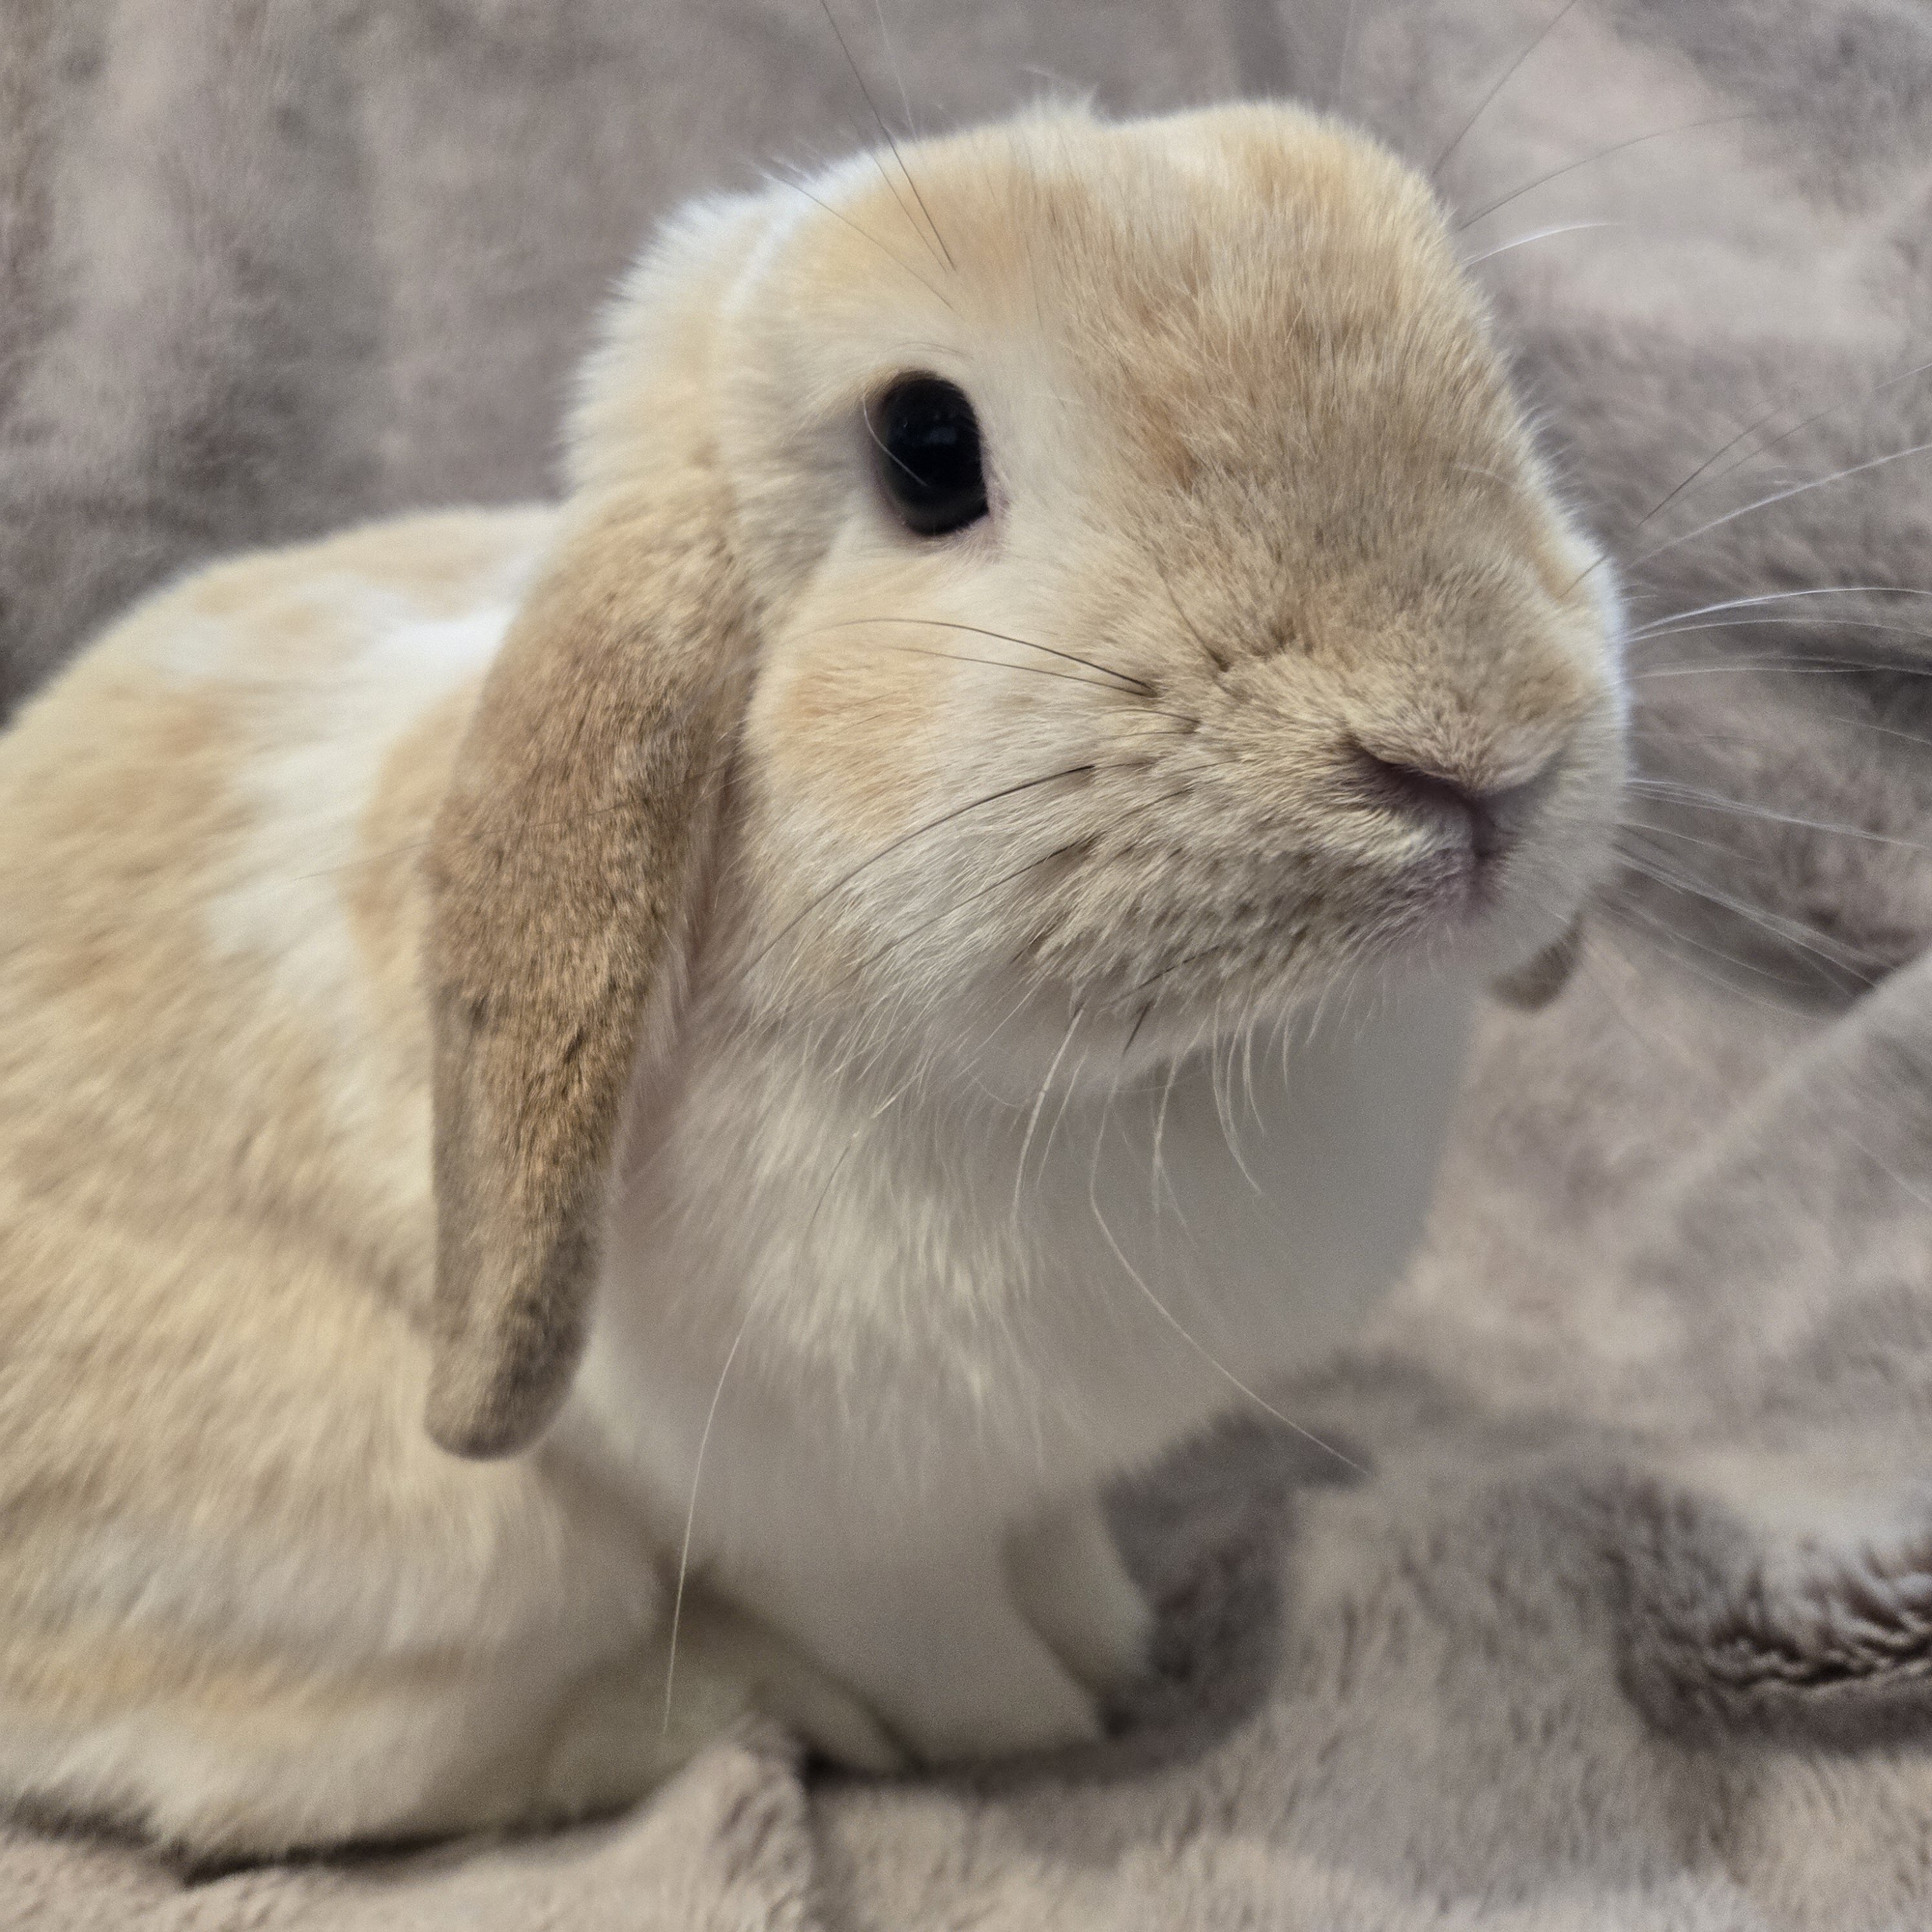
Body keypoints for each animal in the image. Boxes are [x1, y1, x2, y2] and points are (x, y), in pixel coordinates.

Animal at [0, 99, 1626, 1857]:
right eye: (925, 448)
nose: (1474, 754)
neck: (1146, 1078)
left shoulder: (1033, 1467)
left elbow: (1059, 1549)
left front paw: (1114, 1637)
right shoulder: (839, 1535)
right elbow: (952, 1652)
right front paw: (1053, 1727)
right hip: (456, 1562)